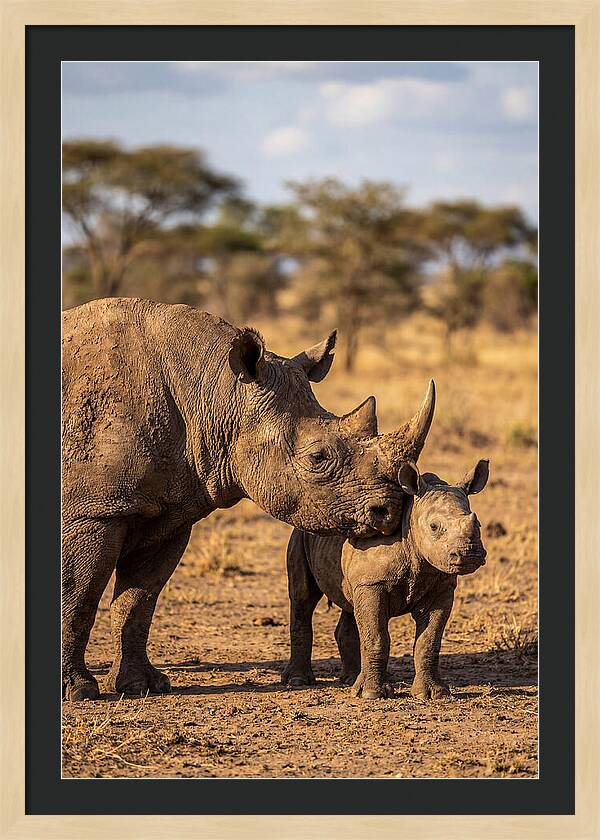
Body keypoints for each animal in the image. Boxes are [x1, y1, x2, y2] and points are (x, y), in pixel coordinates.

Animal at [62, 298, 432, 700]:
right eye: (318, 457)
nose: (389, 511)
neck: (216, 393)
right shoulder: (94, 511)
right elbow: (78, 595)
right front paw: (78, 690)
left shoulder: (169, 512)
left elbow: (138, 601)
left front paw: (142, 686)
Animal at [282, 458, 489, 700]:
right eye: (434, 527)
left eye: (478, 524)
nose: (470, 554)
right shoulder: (373, 584)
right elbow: (376, 637)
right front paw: (372, 694)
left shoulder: (441, 587)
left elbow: (429, 641)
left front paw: (434, 694)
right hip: (300, 535)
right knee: (303, 598)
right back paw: (298, 681)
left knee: (350, 604)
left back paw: (351, 680)